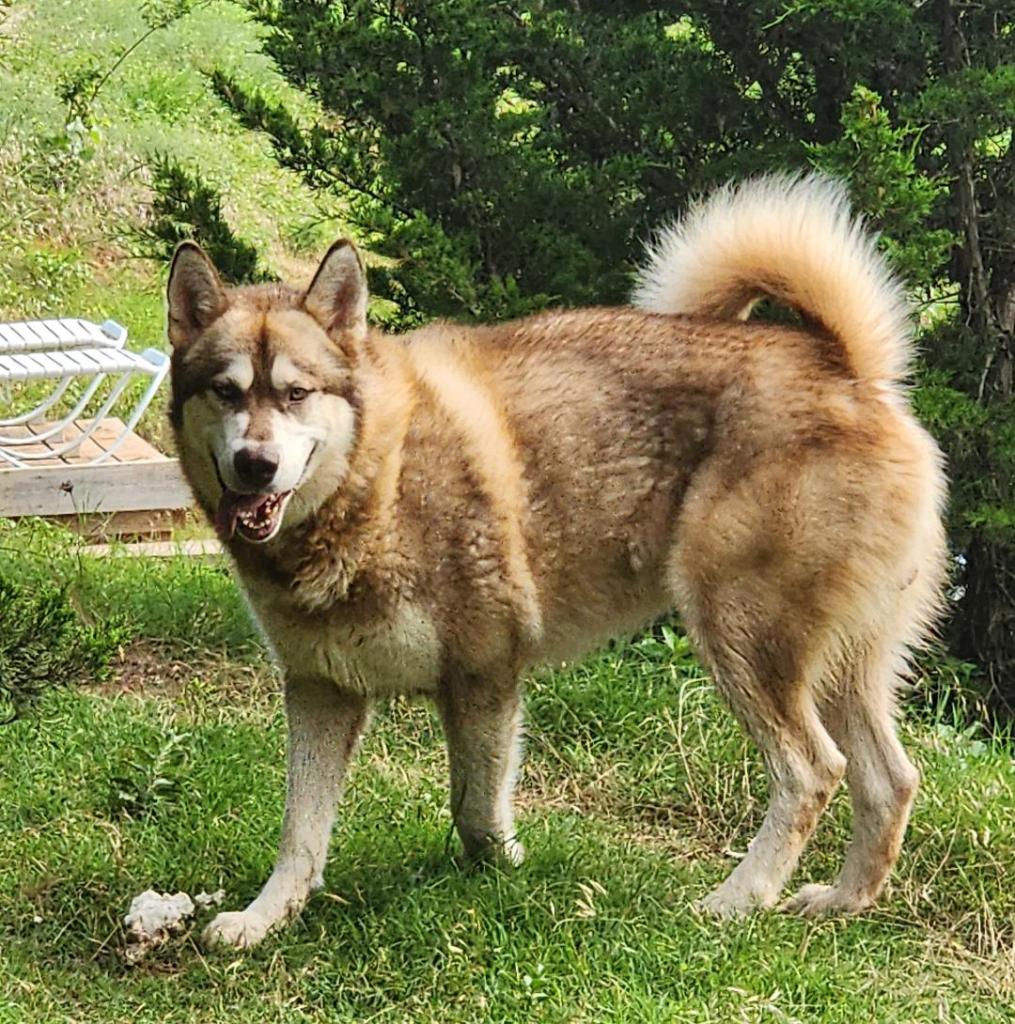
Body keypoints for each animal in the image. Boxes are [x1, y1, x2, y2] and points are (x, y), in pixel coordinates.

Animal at [167, 174, 947, 949]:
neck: (376, 482)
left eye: (296, 393)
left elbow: (474, 811)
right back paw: (843, 900)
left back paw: (737, 901)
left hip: (740, 640)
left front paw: (502, 874)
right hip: (835, 668)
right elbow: (300, 831)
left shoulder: (484, 672)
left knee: (813, 773)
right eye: (226, 391)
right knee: (890, 781)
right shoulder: (320, 690)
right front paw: (265, 917)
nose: (255, 464)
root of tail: (845, 367)